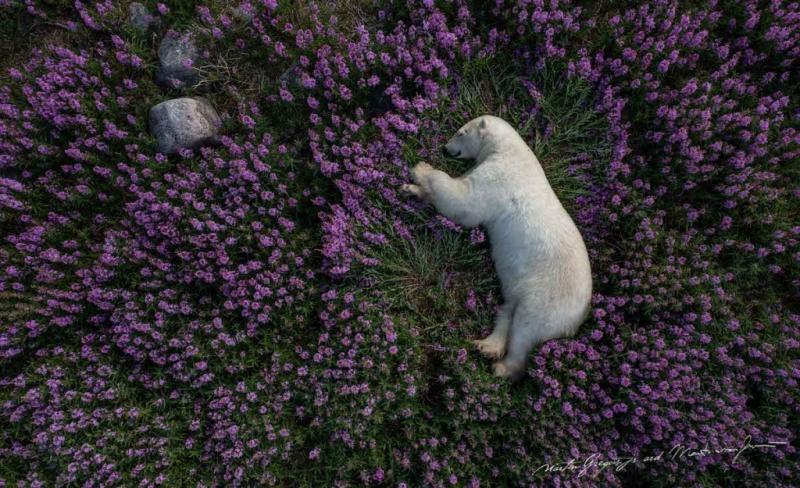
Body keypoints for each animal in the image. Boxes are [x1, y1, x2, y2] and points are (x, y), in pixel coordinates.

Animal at [401, 115, 592, 380]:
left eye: (460, 132)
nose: (445, 149)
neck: (509, 150)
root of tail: (579, 319)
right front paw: (412, 188)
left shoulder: (499, 177)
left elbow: (464, 201)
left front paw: (421, 169)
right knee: (508, 310)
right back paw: (486, 346)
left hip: (548, 299)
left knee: (525, 328)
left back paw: (502, 367)